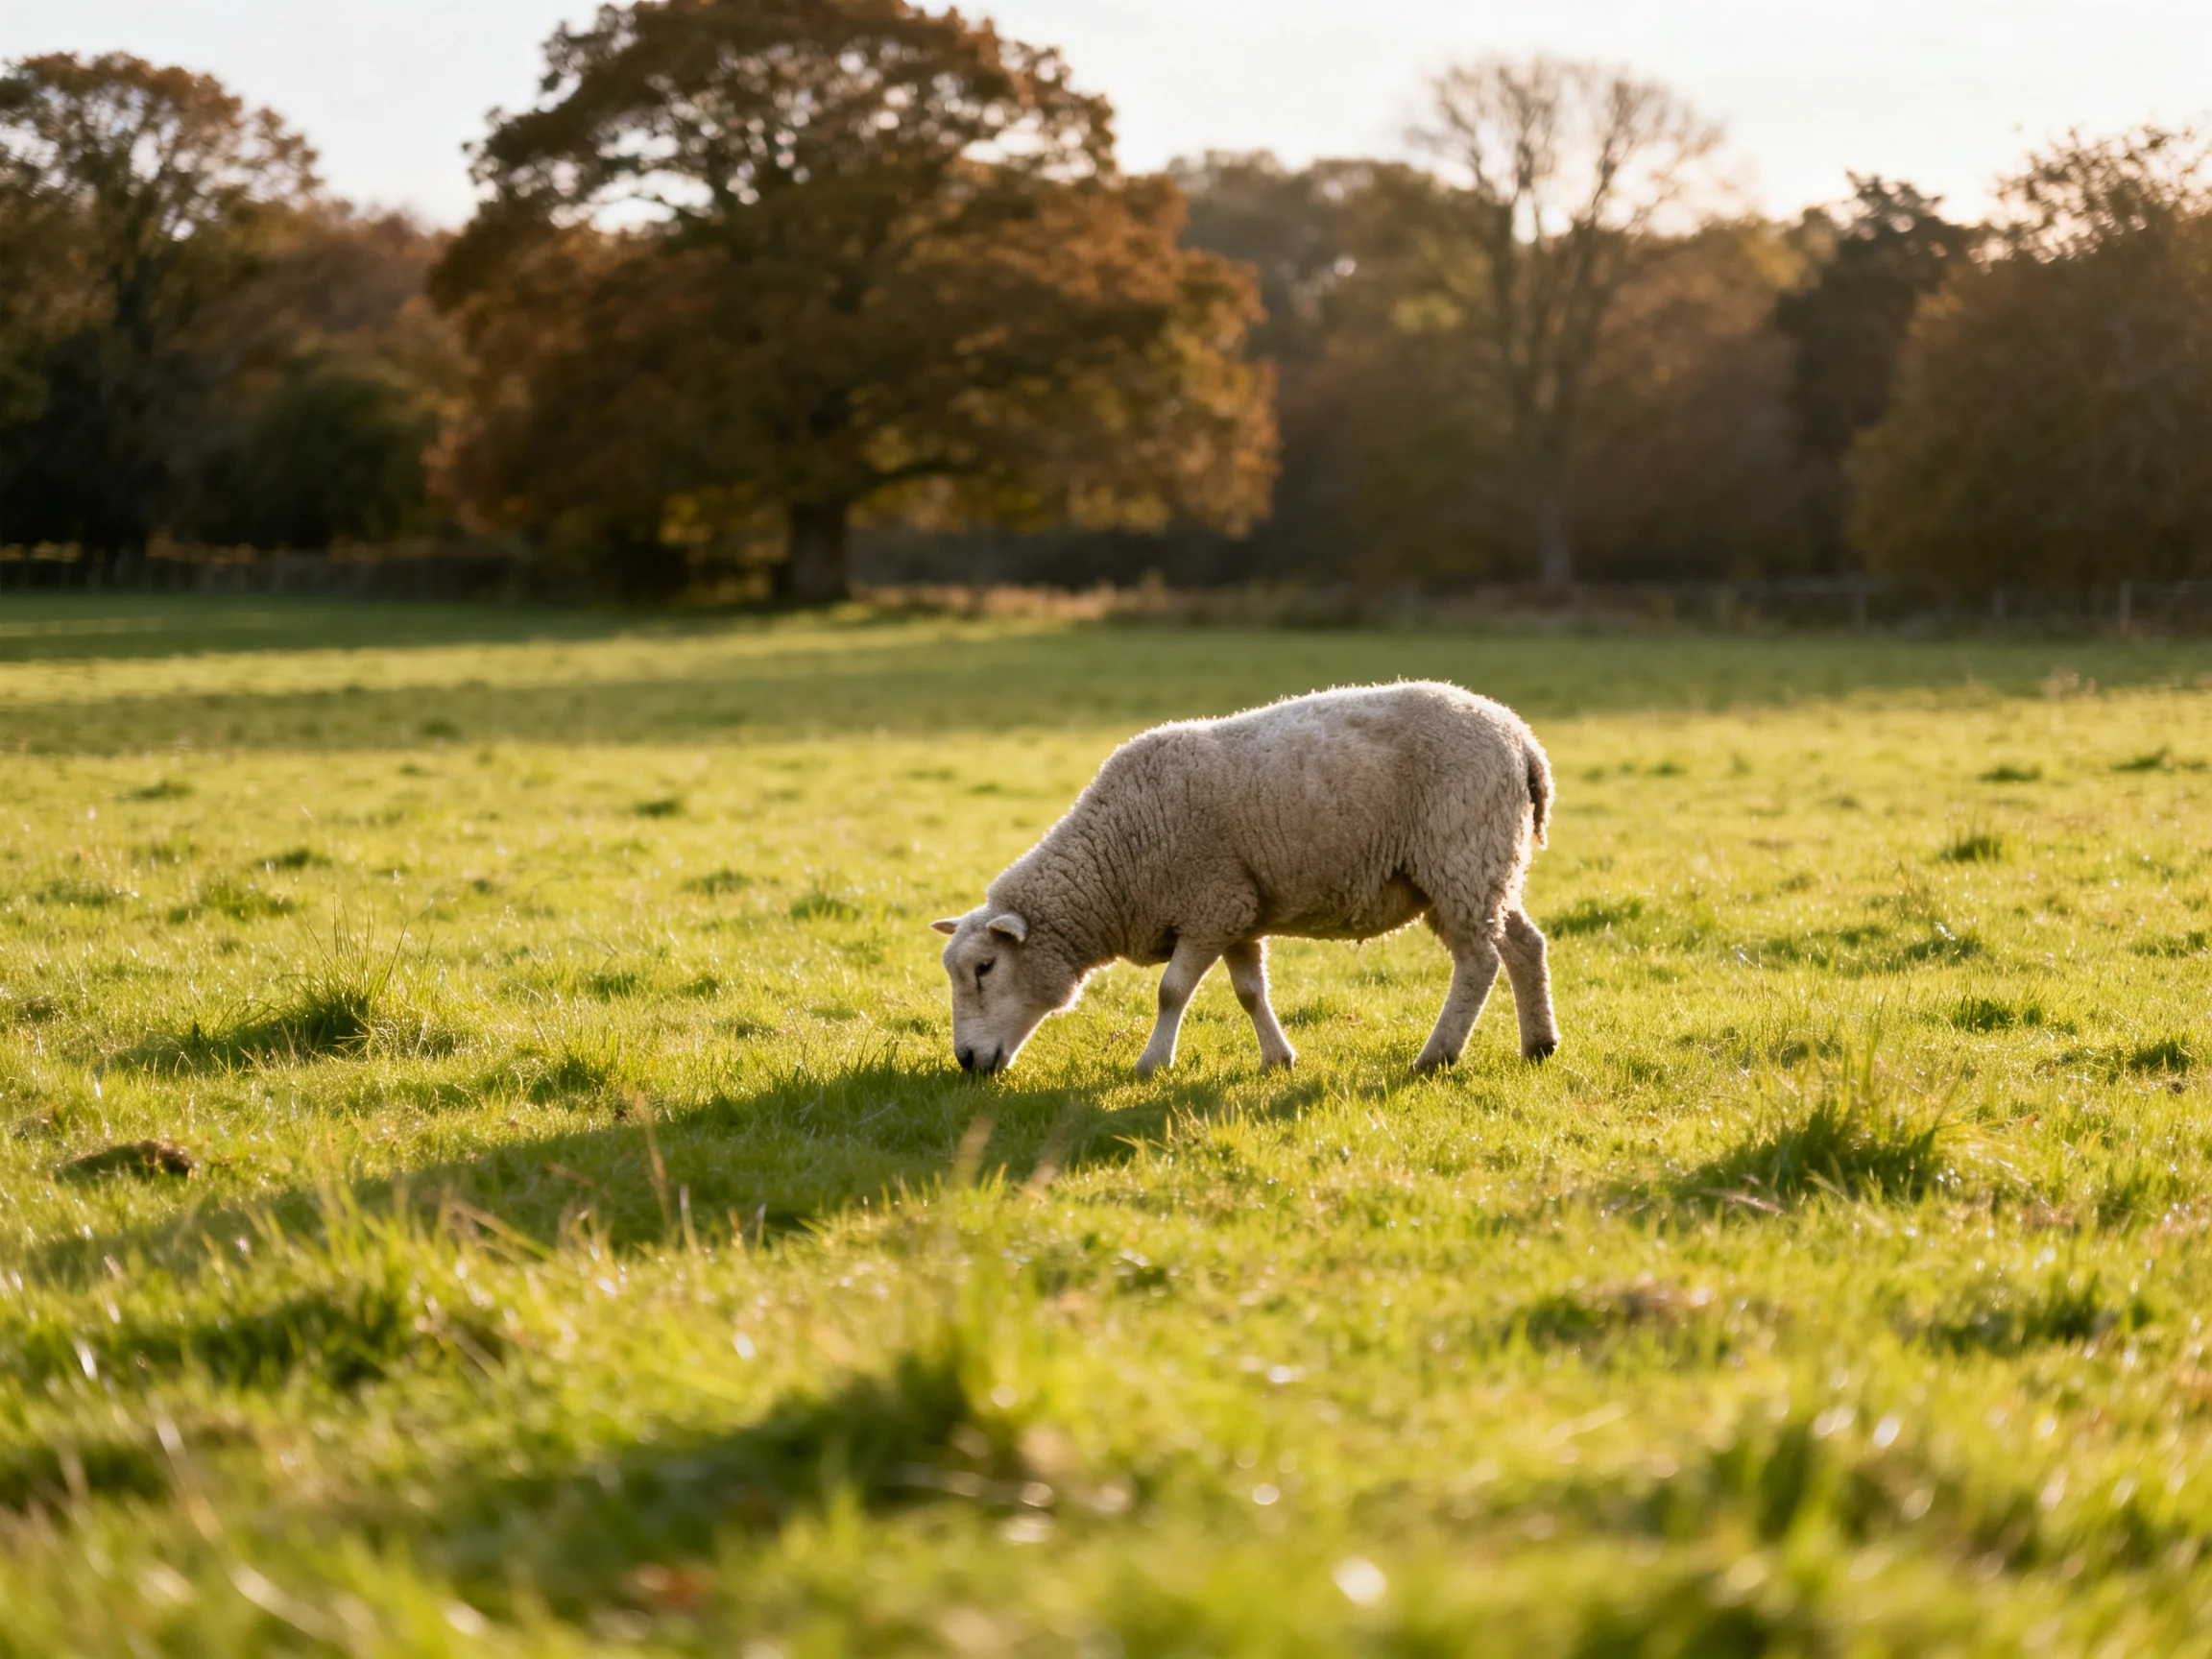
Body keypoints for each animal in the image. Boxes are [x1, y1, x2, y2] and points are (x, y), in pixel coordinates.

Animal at [931, 680, 1558, 1076]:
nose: (965, 1062)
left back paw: (1437, 1057)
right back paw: (1539, 1044)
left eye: (985, 968)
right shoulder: (1238, 912)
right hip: (1483, 867)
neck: (1116, 859)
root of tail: (1522, 739)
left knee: (1479, 962)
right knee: (1523, 944)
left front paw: (1151, 1064)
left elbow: (1171, 991)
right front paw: (1278, 1059)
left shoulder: (1209, 906)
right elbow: (1249, 992)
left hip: (1460, 855)